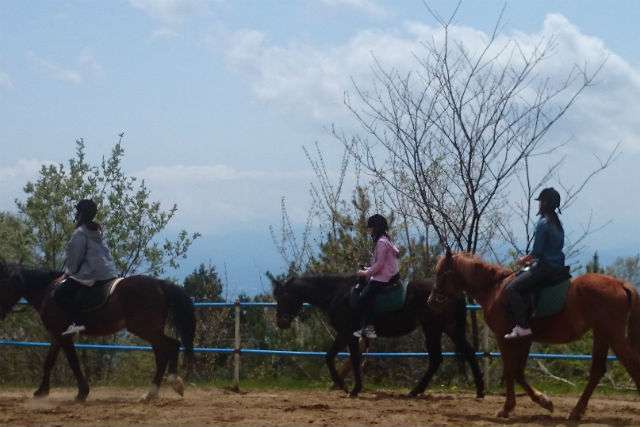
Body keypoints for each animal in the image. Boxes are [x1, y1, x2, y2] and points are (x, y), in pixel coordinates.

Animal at [0, 260, 195, 404]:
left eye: (3, 284)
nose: (1, 313)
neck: (49, 292)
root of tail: (159, 284)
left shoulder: (63, 335)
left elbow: (73, 362)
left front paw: (82, 393)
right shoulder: (57, 335)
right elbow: (49, 362)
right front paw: (41, 391)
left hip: (144, 328)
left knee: (167, 349)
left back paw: (158, 389)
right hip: (152, 329)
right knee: (169, 347)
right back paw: (165, 387)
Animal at [272, 276, 482, 400]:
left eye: (282, 297)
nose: (281, 322)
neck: (337, 294)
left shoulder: (346, 333)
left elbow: (342, 358)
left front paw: (349, 388)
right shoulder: (347, 335)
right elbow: (342, 357)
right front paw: (349, 387)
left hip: (433, 328)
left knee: (440, 357)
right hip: (445, 327)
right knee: (461, 353)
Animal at [428, 251, 640, 422]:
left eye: (440, 273)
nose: (431, 301)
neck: (495, 289)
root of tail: (621, 284)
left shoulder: (504, 338)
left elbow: (511, 371)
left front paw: (507, 408)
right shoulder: (524, 340)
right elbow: (519, 373)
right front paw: (543, 401)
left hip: (612, 336)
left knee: (631, 364)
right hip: (602, 335)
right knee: (597, 371)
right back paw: (576, 412)